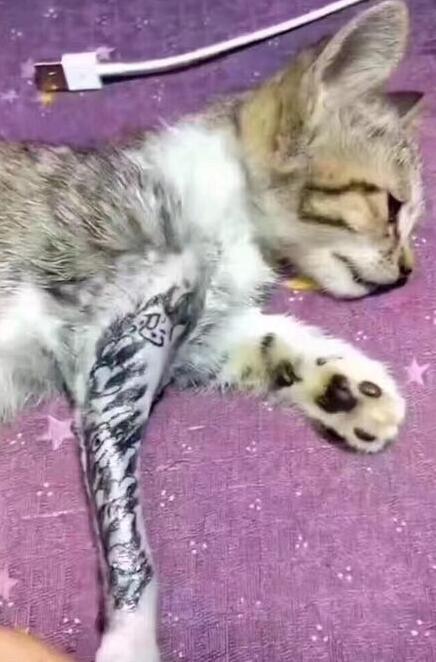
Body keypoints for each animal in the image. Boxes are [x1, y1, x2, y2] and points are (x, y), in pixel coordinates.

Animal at [0, 1, 423, 660]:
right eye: (393, 206)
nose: (408, 272)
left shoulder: (193, 337)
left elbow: (269, 338)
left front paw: (350, 389)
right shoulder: (118, 348)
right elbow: (130, 540)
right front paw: (131, 641)